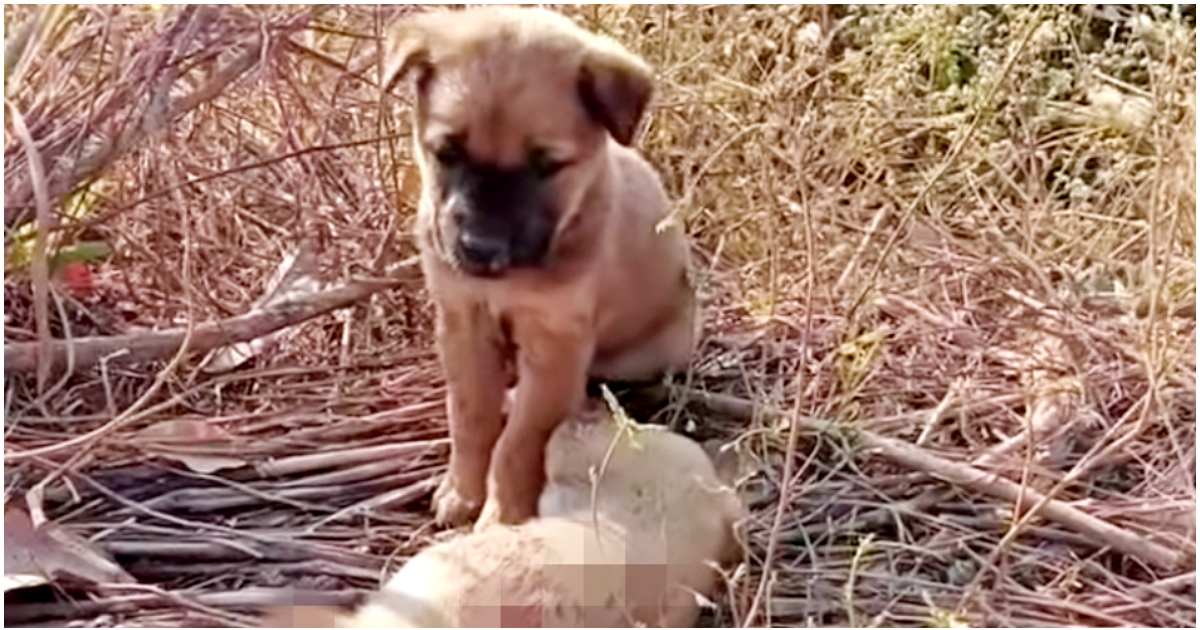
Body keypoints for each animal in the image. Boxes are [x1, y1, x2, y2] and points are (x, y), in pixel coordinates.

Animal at [381, 6, 699, 530]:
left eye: (546, 164)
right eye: (447, 153)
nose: (478, 249)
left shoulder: (556, 344)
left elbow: (519, 441)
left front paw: (501, 515)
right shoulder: (463, 322)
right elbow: (470, 417)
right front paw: (462, 492)